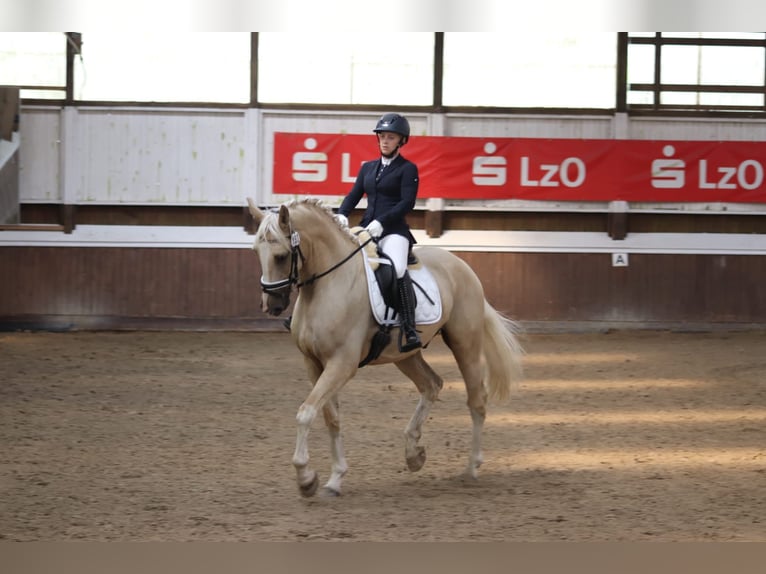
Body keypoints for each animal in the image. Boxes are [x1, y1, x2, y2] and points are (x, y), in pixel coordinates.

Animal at [249, 199, 524, 500]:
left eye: (281, 256)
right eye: (256, 251)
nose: (271, 306)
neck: (327, 285)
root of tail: (462, 265)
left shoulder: (342, 364)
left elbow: (306, 412)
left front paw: (306, 479)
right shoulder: (313, 363)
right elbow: (331, 418)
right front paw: (334, 479)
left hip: (465, 343)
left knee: (476, 400)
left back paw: (472, 467)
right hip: (404, 354)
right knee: (431, 384)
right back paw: (414, 454)